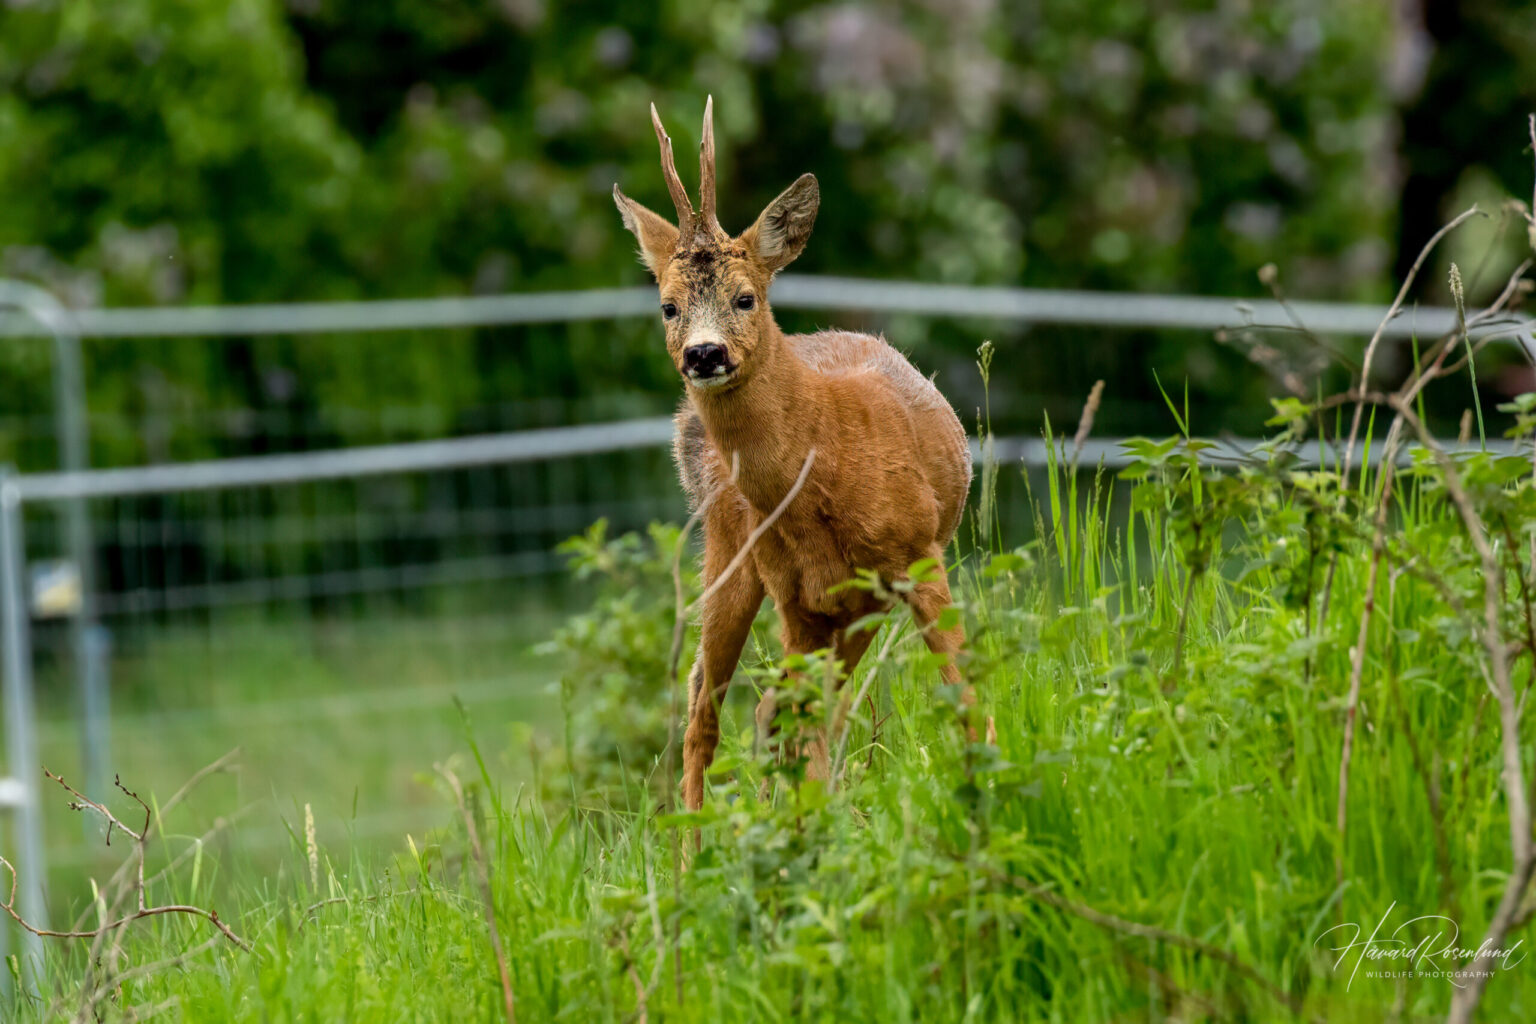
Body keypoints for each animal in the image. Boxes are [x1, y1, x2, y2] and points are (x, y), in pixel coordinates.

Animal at [613, 98, 977, 812]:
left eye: (745, 296)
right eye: (667, 306)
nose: (704, 353)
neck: (827, 460)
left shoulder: (917, 556)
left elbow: (961, 685)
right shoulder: (798, 596)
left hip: (854, 604)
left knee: (778, 707)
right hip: (730, 551)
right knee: (710, 706)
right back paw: (694, 838)